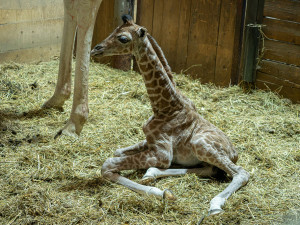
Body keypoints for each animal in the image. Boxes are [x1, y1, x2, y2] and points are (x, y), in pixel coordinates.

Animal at [90, 14, 250, 215]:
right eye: (113, 30)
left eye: (123, 38)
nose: (95, 49)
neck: (164, 106)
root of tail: (234, 152)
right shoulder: (150, 141)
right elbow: (117, 151)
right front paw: (160, 187)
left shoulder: (162, 154)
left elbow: (108, 165)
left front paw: (163, 194)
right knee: (210, 170)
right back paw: (151, 173)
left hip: (201, 143)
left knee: (241, 173)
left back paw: (215, 205)